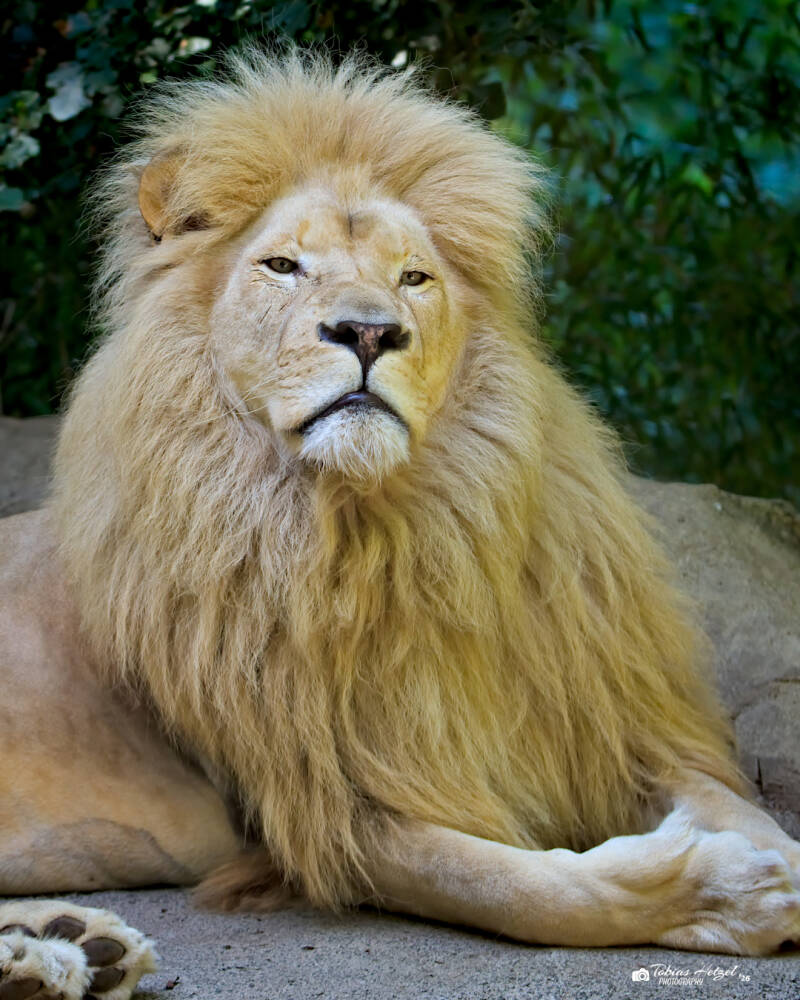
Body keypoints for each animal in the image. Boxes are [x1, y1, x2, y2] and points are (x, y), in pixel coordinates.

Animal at [1, 49, 799, 1000]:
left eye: (414, 277)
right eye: (282, 265)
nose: (369, 331)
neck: (389, 537)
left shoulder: (612, 723)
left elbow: (742, 809)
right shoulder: (327, 809)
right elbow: (528, 888)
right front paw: (727, 891)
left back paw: (68, 946)